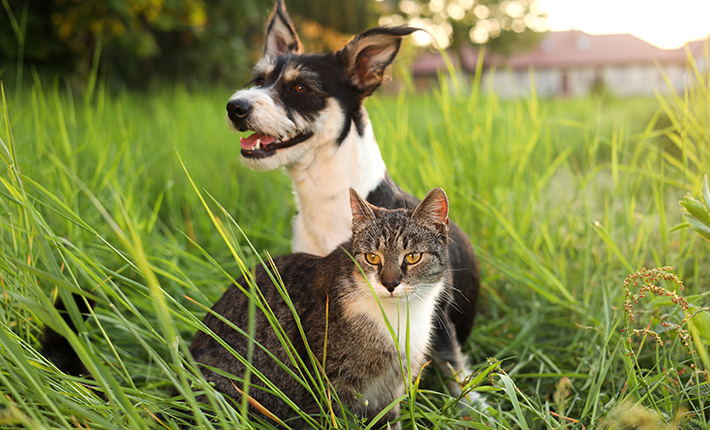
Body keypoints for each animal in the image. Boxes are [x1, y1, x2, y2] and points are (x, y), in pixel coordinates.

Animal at [191, 186, 450, 428]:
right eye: (372, 257)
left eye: (413, 256)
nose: (390, 284)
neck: (397, 316)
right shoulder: (332, 385)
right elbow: (334, 418)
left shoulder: (391, 390)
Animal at [228, 0, 484, 402]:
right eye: (259, 81)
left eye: (300, 86)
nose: (234, 107)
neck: (324, 200)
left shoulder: (437, 320)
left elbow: (457, 376)